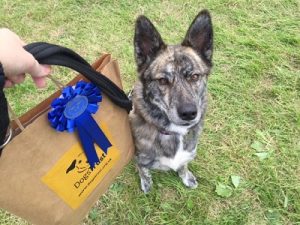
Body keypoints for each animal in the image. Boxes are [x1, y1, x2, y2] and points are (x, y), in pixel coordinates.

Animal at [129, 9, 213, 192]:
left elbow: (183, 164)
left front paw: (186, 176)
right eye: (162, 81)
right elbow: (144, 170)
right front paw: (146, 183)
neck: (174, 132)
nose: (189, 113)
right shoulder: (140, 159)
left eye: (194, 76)